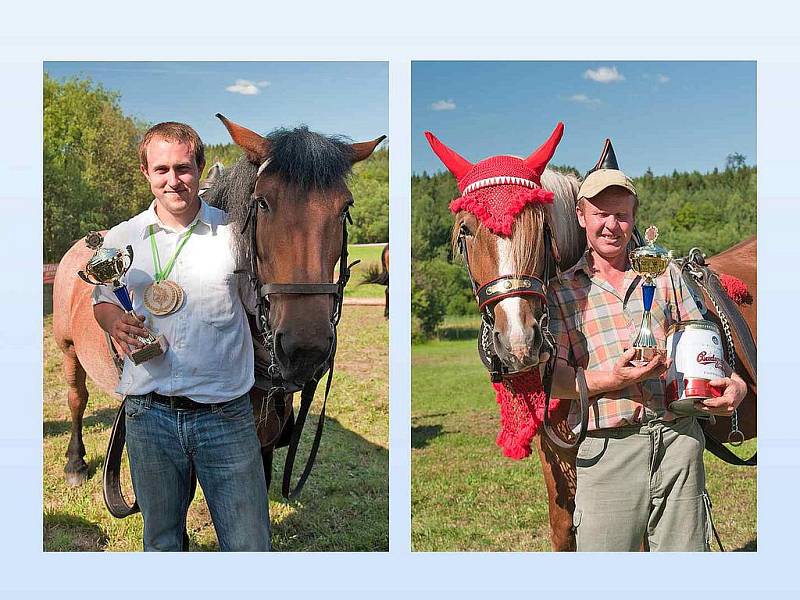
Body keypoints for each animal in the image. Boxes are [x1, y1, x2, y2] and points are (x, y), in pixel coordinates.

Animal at [53, 116, 384, 506]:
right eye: (262, 203)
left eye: (344, 207)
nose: (305, 348)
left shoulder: (262, 440)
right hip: (68, 349)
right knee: (77, 398)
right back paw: (75, 462)